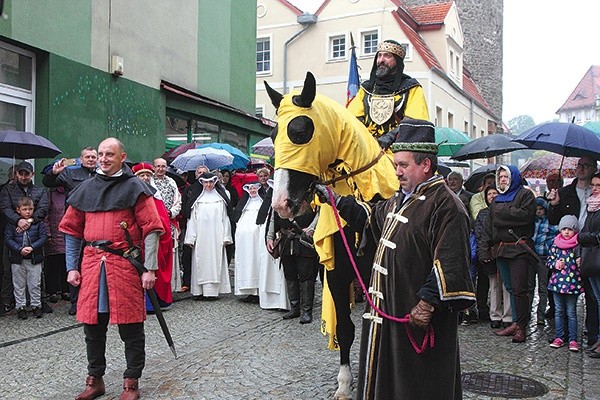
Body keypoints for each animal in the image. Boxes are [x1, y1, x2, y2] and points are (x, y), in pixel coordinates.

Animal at [264, 72, 398, 400]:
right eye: (273, 136)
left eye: (300, 132)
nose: (282, 203)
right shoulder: (337, 274)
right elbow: (346, 330)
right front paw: (345, 383)